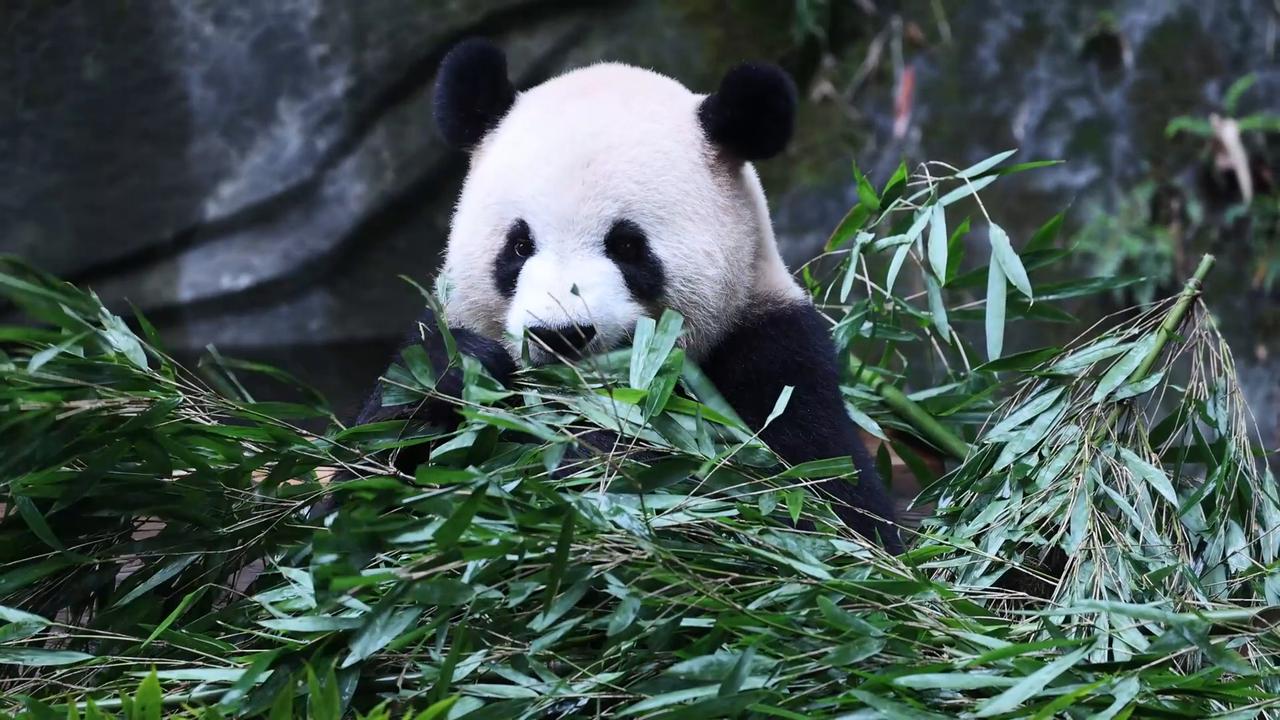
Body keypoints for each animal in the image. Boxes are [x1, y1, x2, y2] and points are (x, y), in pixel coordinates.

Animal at [352, 39, 902, 553]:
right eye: (519, 245)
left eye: (627, 246)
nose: (562, 335)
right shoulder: (443, 322)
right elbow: (368, 496)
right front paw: (465, 372)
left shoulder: (774, 359)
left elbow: (812, 510)